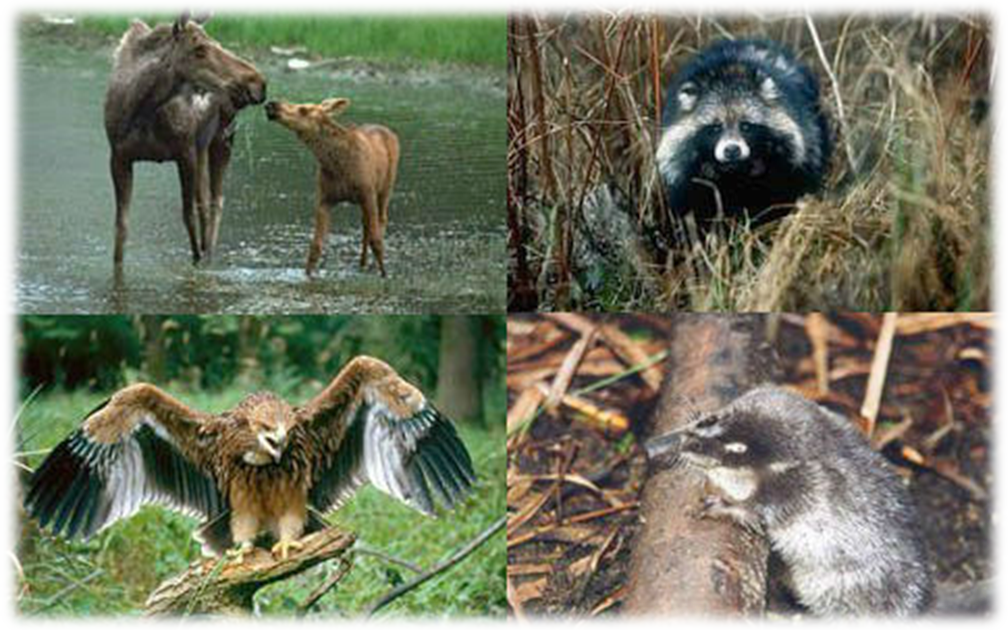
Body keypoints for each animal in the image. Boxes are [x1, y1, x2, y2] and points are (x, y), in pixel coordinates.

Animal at [105, 3, 268, 268]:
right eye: (199, 49)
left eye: (216, 43)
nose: (258, 83)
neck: (143, 108)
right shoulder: (119, 157)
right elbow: (121, 229)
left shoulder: (185, 153)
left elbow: (189, 217)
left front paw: (198, 260)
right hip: (204, 149)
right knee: (207, 204)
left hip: (222, 141)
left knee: (214, 203)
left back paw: (209, 256)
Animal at [266, 97, 399, 274]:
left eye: (303, 109)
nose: (271, 104)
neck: (337, 165)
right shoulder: (324, 198)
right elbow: (315, 247)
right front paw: (307, 274)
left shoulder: (367, 193)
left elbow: (376, 242)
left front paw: (384, 274)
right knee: (365, 225)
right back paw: (362, 263)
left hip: (386, 187)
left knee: (381, 220)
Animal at [657, 39, 830, 230]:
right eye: (716, 128)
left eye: (745, 126)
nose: (732, 150)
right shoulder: (687, 174)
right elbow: (694, 207)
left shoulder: (784, 163)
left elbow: (778, 196)